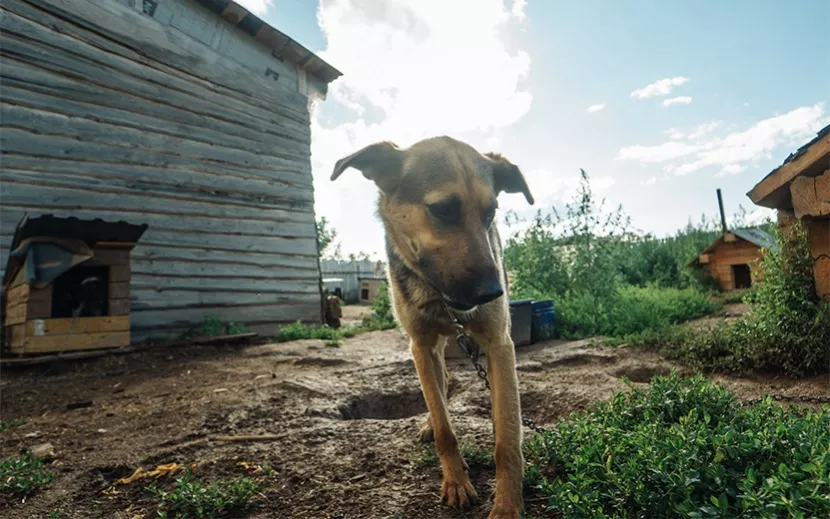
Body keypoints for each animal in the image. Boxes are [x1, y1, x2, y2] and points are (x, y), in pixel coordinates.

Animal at [332, 136, 532, 516]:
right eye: (442, 209)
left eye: (490, 213)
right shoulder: (421, 345)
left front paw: (506, 506)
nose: (493, 292)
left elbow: (507, 438)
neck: (440, 298)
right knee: (438, 388)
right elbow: (443, 425)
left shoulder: (499, 343)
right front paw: (456, 481)